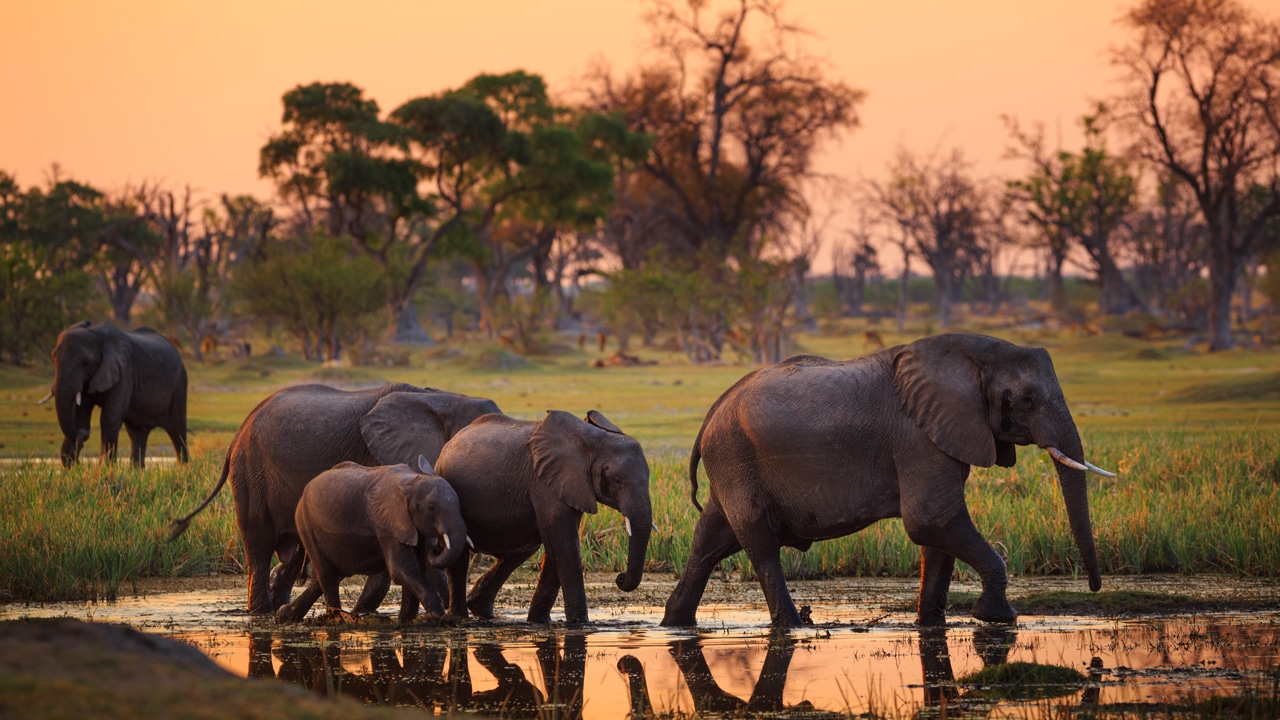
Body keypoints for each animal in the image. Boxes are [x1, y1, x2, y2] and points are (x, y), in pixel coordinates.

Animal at [42, 317, 188, 466]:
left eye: (86, 363)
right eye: (53, 358)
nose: (83, 435)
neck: (96, 332)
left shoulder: (124, 372)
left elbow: (109, 419)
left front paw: (105, 468)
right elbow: (80, 416)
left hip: (179, 384)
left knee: (177, 432)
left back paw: (183, 468)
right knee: (137, 433)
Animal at [277, 458, 468, 622]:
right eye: (432, 508)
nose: (437, 547)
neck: (412, 481)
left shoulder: (410, 526)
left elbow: (416, 569)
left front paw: (407, 620)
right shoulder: (385, 523)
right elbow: (401, 570)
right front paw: (436, 617)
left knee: (327, 577)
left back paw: (284, 615)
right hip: (305, 523)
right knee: (327, 575)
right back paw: (336, 619)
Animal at [437, 409, 655, 622]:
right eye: (617, 479)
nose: (620, 577)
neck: (592, 439)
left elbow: (557, 544)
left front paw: (540, 622)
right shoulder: (544, 481)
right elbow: (564, 543)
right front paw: (581, 624)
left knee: (523, 549)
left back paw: (481, 610)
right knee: (460, 556)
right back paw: (459, 617)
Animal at [660, 333, 1111, 627]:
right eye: (1026, 400)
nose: (1094, 587)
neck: (972, 356)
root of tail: (712, 412)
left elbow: (937, 534)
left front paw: (931, 625)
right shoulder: (917, 436)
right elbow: (932, 519)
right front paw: (998, 617)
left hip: (731, 463)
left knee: (709, 541)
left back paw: (675, 624)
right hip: (735, 457)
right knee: (760, 544)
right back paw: (795, 626)